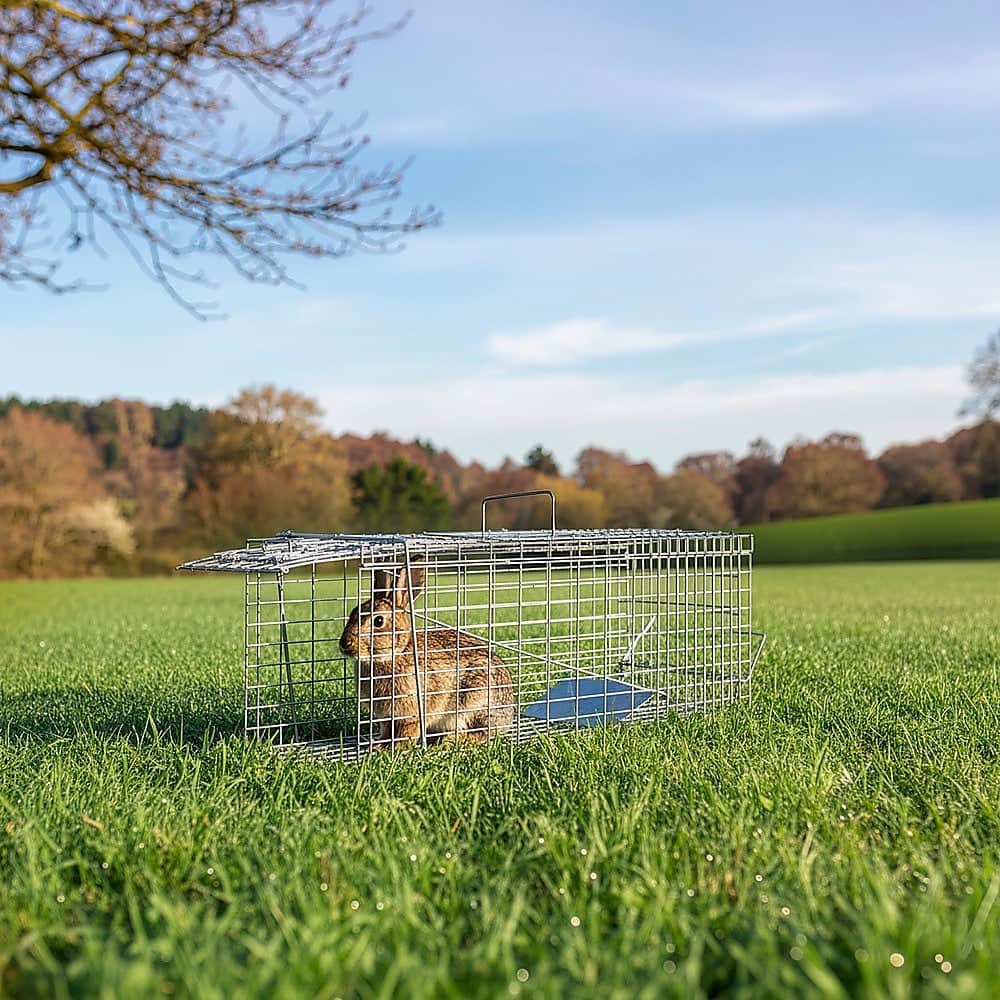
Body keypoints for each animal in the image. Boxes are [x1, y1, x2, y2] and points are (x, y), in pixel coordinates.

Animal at [338, 562, 515, 749]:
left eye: (378, 621)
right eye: (353, 612)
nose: (344, 645)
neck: (395, 654)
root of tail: (508, 715)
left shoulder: (413, 712)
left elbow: (406, 733)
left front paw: (396, 749)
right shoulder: (387, 717)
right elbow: (387, 732)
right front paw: (379, 746)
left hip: (474, 701)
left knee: (479, 733)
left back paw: (449, 741)